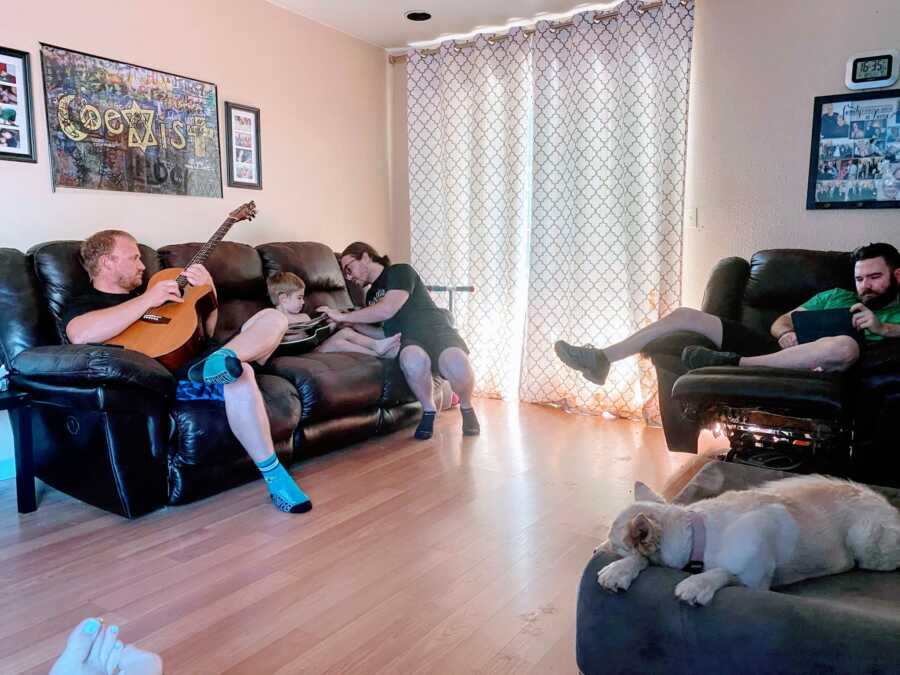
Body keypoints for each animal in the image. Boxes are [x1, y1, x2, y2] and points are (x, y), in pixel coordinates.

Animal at [596, 476, 900, 608]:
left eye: (611, 543)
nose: (595, 549)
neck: (699, 536)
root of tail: (882, 500)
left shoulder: (757, 579)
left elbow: (724, 572)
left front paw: (699, 583)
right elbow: (640, 558)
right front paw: (621, 569)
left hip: (865, 541)